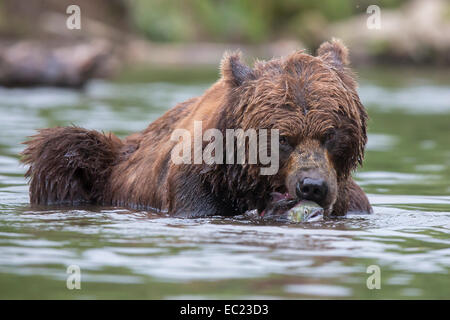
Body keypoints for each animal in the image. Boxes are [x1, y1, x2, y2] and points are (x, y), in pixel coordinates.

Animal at [21, 38, 370, 218]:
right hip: (101, 164)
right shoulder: (196, 185)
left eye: (330, 133)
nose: (312, 186)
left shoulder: (349, 202)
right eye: (283, 138)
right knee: (62, 151)